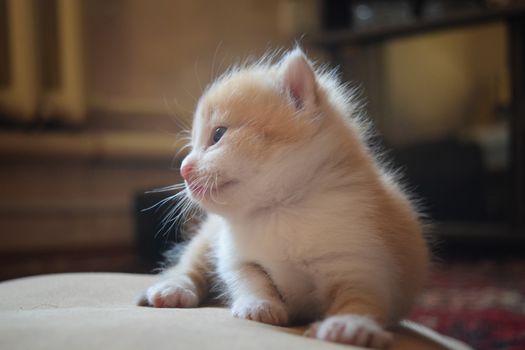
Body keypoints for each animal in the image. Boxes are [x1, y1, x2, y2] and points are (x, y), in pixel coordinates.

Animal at [137, 47, 428, 350]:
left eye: (217, 135)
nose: (184, 169)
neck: (278, 209)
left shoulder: (362, 263)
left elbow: (363, 298)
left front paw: (351, 325)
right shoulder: (234, 256)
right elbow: (249, 278)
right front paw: (259, 304)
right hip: (207, 238)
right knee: (190, 265)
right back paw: (173, 288)